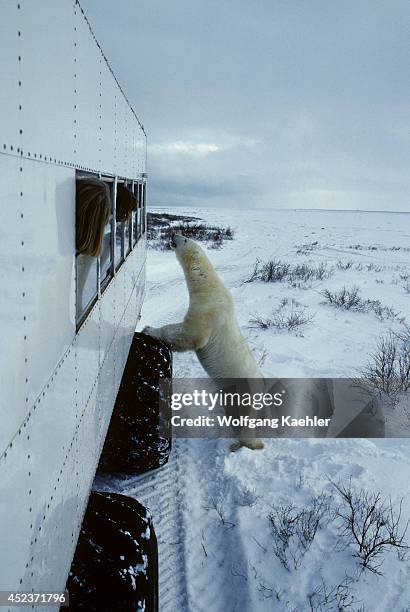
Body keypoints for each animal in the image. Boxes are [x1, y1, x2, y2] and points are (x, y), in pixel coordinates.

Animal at [144, 234, 264, 450]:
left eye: (184, 239)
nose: (173, 234)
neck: (209, 287)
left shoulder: (206, 311)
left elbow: (190, 334)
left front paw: (149, 329)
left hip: (244, 392)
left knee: (245, 422)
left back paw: (244, 444)